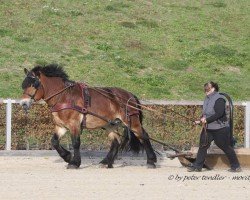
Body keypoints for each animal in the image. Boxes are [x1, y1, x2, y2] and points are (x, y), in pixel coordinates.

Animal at [20, 64, 156, 169]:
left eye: (34, 84)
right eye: (23, 85)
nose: (23, 103)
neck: (64, 97)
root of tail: (129, 95)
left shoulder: (74, 124)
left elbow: (76, 143)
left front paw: (74, 163)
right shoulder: (61, 126)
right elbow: (54, 141)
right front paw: (67, 157)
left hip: (132, 122)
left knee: (143, 136)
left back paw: (151, 161)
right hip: (110, 124)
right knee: (116, 142)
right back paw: (106, 162)